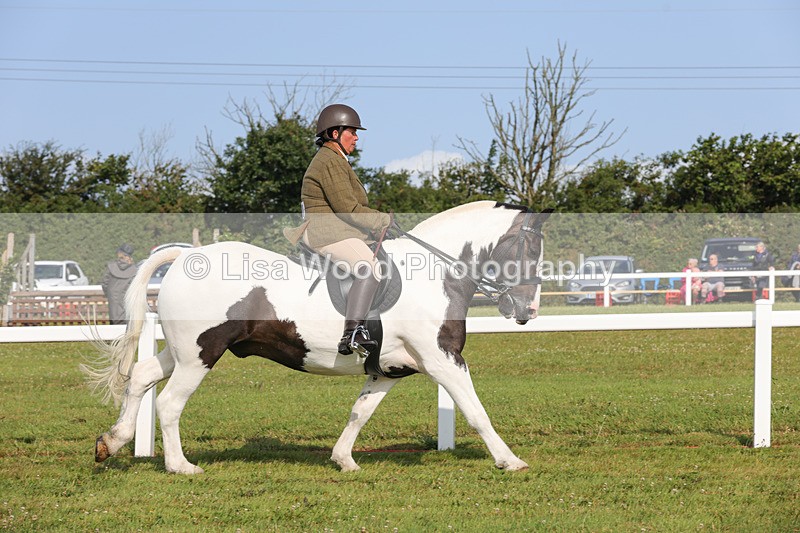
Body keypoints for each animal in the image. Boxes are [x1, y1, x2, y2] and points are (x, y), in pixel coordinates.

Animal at [84, 201, 550, 474]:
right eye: (530, 250)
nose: (527, 311)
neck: (436, 274)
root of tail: (187, 255)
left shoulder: (390, 368)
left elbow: (359, 413)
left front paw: (344, 460)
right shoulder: (442, 360)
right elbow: (476, 411)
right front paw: (510, 460)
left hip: (186, 352)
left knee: (142, 375)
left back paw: (112, 442)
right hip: (201, 354)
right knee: (168, 402)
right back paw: (181, 466)